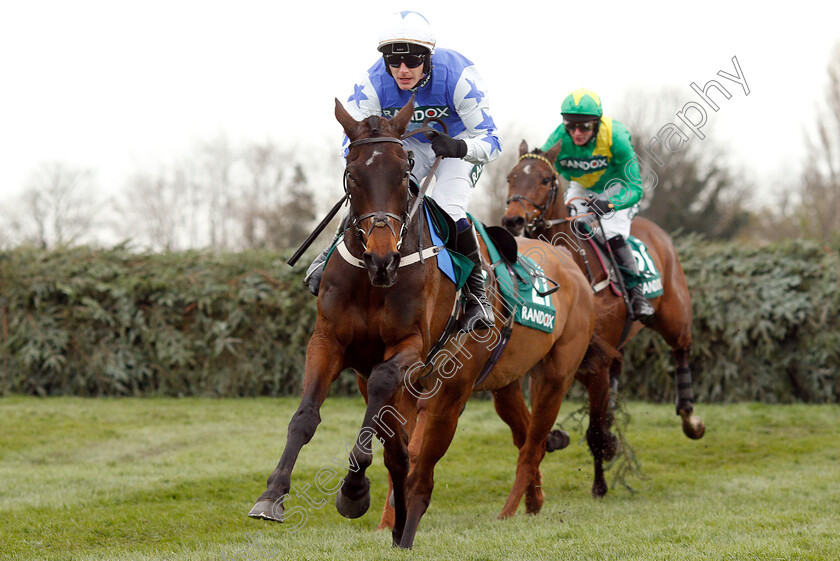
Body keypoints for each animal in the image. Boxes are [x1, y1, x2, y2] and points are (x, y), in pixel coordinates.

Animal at [249, 99, 596, 548]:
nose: (382, 257)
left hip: (518, 381)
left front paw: (354, 492)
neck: (373, 282)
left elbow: (392, 423)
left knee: (497, 452)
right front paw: (272, 495)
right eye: (352, 174)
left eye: (403, 172)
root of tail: (571, 264)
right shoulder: (329, 341)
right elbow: (309, 417)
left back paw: (424, 523)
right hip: (498, 384)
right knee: (501, 438)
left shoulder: (409, 350)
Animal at [502, 140, 704, 494]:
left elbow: (595, 432)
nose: (513, 219)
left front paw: (600, 484)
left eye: (545, 179)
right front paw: (556, 440)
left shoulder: (595, 363)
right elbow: (537, 424)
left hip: (673, 316)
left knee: (681, 347)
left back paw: (690, 417)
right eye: (512, 177)